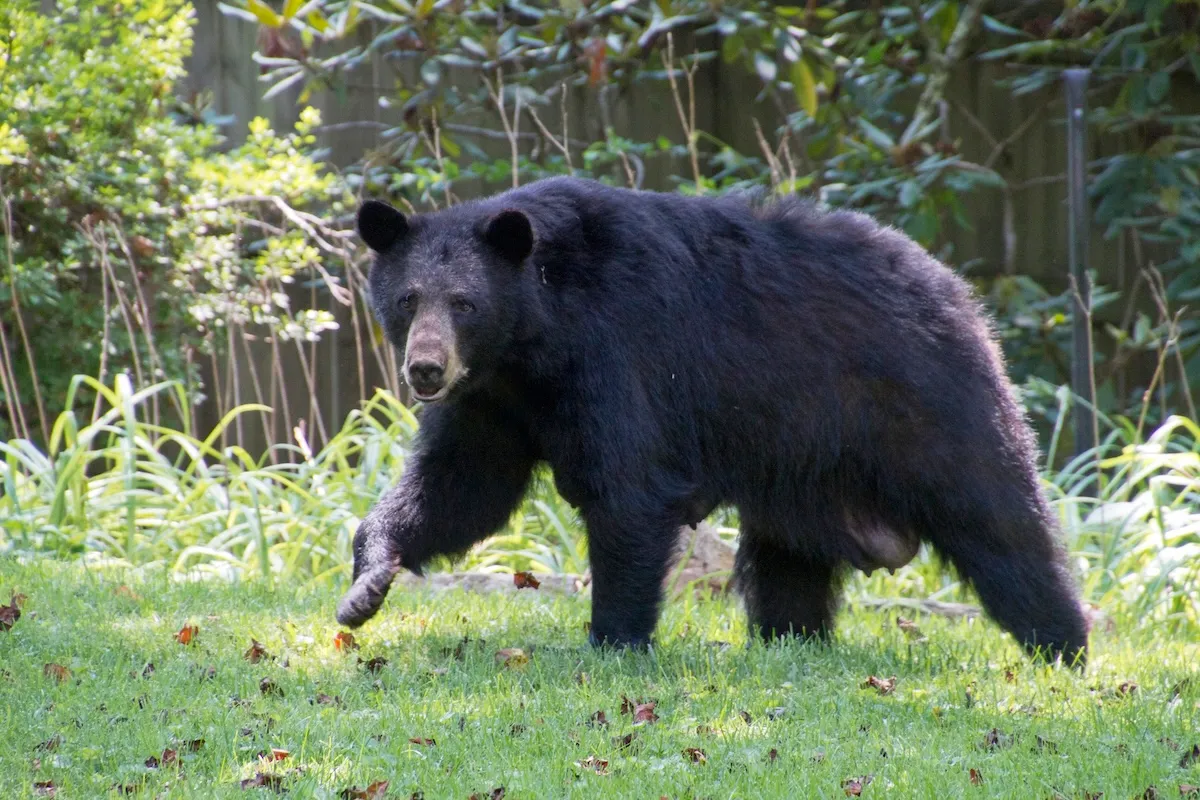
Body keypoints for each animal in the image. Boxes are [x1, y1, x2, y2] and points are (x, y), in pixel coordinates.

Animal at [336, 176, 1090, 667]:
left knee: (998, 522)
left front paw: (613, 641)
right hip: (803, 474)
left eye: (464, 302)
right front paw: (365, 586)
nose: (426, 370)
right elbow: (461, 486)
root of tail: (960, 294)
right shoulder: (493, 403)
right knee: (788, 567)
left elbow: (630, 489)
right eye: (408, 298)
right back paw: (791, 641)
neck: (534, 341)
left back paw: (1063, 645)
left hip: (926, 406)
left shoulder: (623, 353)